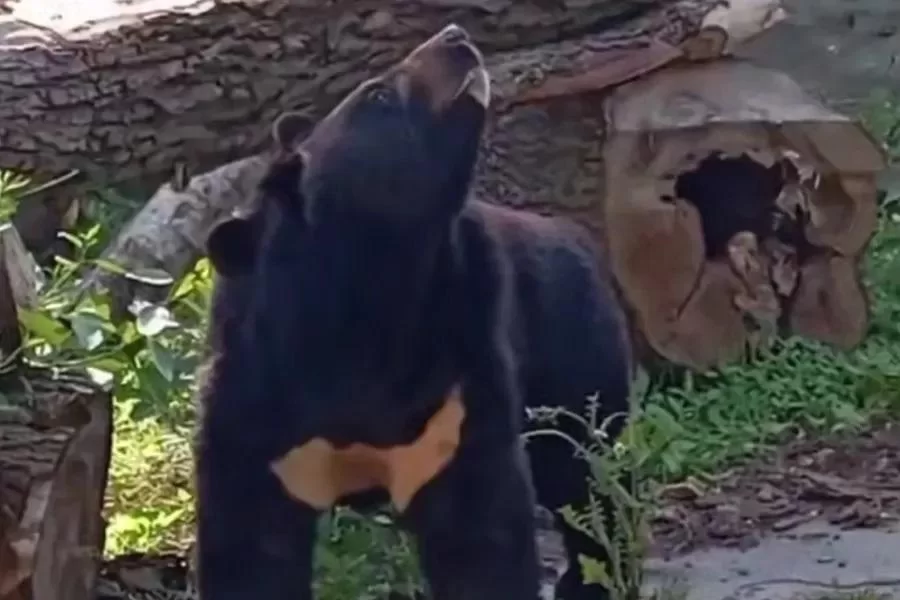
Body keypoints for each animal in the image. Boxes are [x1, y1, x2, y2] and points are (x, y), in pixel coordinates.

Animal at [194, 23, 632, 600]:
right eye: (379, 94)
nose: (456, 37)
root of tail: (576, 234)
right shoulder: (256, 406)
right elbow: (250, 551)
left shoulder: (454, 389)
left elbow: (480, 538)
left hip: (575, 356)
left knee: (585, 475)